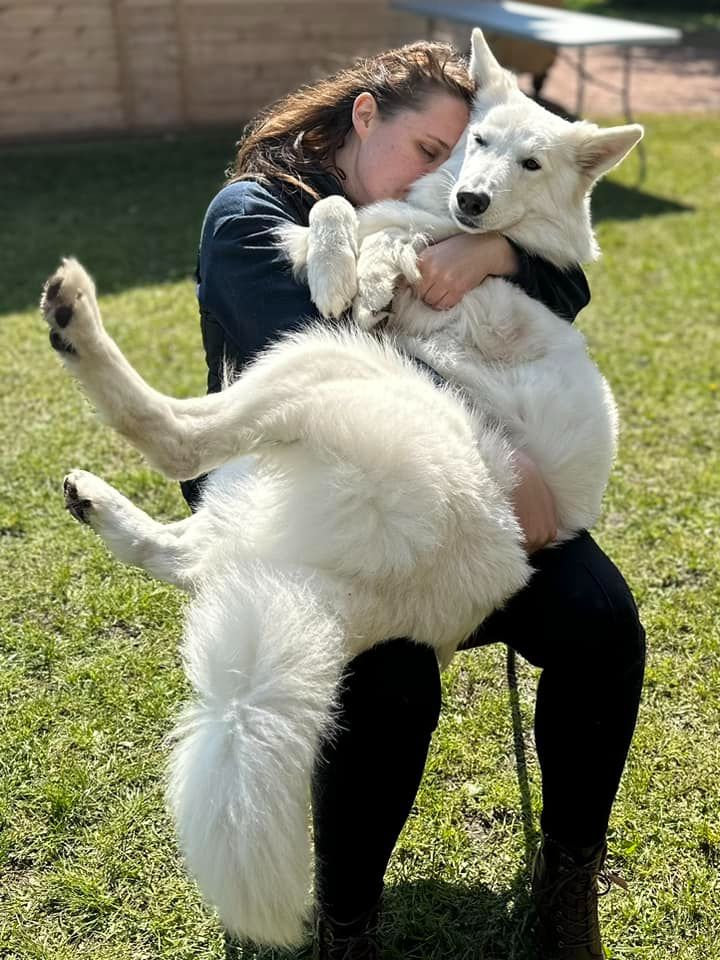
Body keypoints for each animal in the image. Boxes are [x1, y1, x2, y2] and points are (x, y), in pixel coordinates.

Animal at [40, 30, 640, 952]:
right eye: (473, 141)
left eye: (531, 162)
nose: (471, 200)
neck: (440, 223)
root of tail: (333, 586)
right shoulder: (359, 222)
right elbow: (335, 209)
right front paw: (345, 264)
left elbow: (377, 238)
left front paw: (373, 273)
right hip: (281, 438)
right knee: (190, 545)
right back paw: (97, 498)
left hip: (322, 365)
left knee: (181, 439)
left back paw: (77, 321)